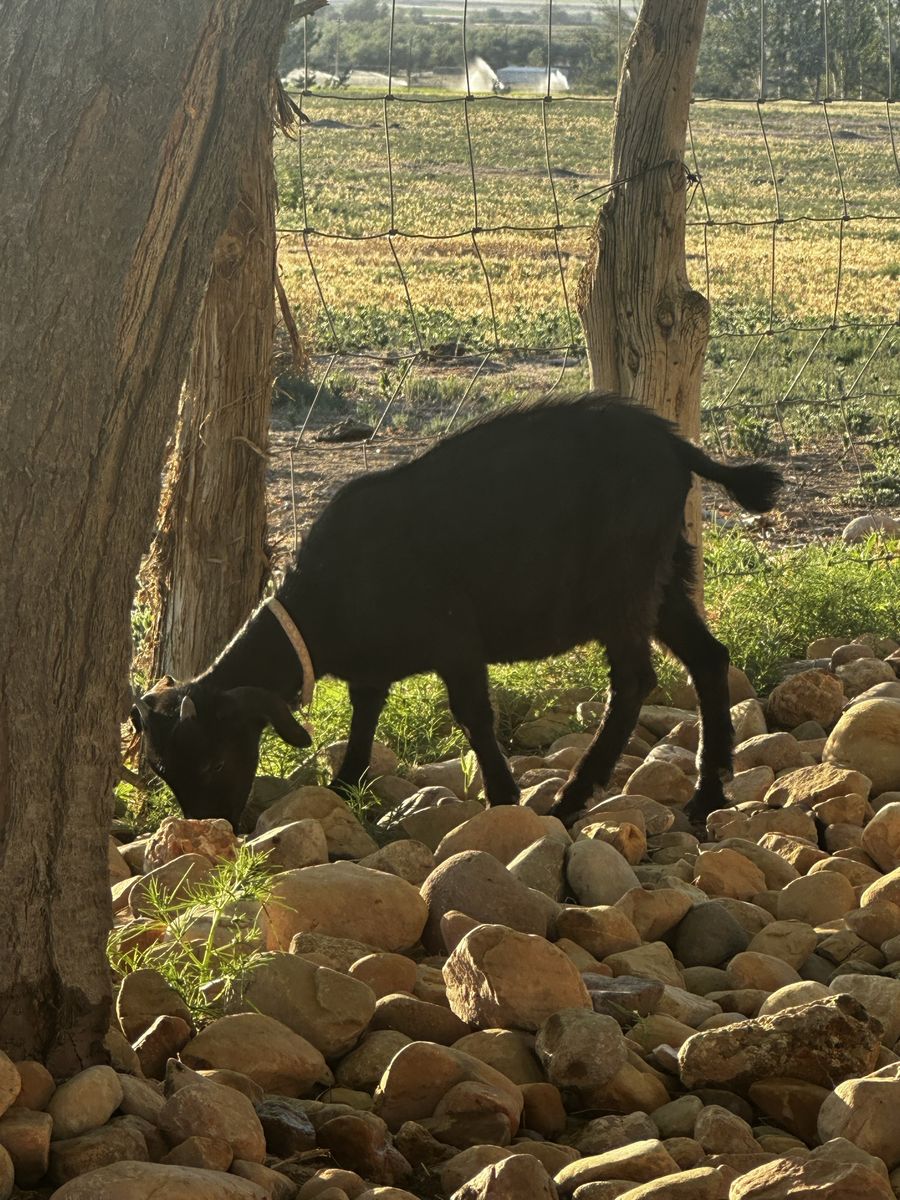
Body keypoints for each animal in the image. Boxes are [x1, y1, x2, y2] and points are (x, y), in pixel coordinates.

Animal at [131, 394, 781, 831]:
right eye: (163, 771)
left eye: (211, 761)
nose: (217, 828)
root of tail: (675, 444)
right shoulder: (372, 669)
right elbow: (363, 722)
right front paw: (343, 789)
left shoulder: (455, 640)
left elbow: (473, 716)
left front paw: (503, 798)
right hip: (668, 577)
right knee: (709, 658)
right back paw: (705, 795)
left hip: (624, 586)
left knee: (634, 681)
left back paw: (571, 799)